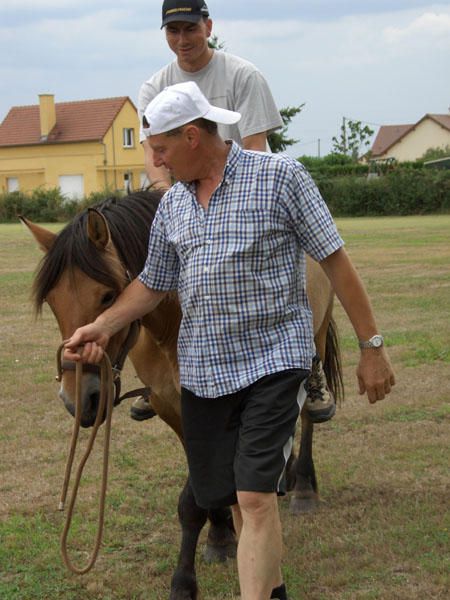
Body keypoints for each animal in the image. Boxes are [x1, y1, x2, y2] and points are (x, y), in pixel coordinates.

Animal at [21, 190, 342, 600]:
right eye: (52, 302)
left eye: (108, 296)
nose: (78, 399)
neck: (170, 324)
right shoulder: (172, 407)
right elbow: (206, 480)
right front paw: (221, 535)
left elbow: (191, 502)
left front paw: (184, 581)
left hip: (314, 336)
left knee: (305, 418)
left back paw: (302, 488)